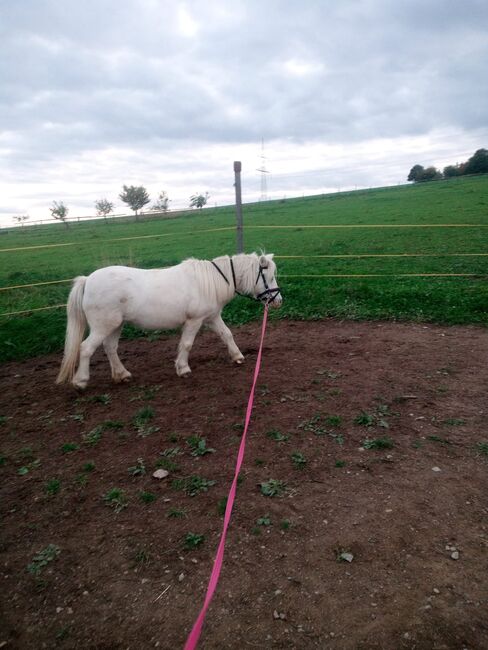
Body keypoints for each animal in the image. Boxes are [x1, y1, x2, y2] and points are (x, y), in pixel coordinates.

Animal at [56, 251, 282, 388]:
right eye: (269, 277)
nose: (278, 300)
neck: (210, 281)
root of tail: (88, 280)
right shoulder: (194, 321)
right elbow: (187, 344)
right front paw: (183, 369)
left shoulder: (212, 317)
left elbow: (227, 334)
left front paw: (237, 356)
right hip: (103, 326)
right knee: (86, 348)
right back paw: (81, 381)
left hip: (115, 325)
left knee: (110, 348)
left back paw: (122, 374)